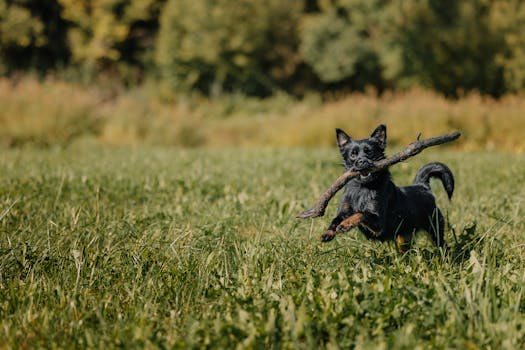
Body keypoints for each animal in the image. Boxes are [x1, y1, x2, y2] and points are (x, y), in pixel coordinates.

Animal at [322, 123, 452, 252]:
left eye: (369, 152)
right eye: (353, 154)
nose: (362, 161)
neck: (362, 188)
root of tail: (422, 186)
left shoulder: (378, 223)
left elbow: (361, 213)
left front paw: (346, 223)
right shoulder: (343, 212)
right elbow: (335, 220)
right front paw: (328, 232)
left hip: (434, 230)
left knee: (443, 246)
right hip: (404, 239)